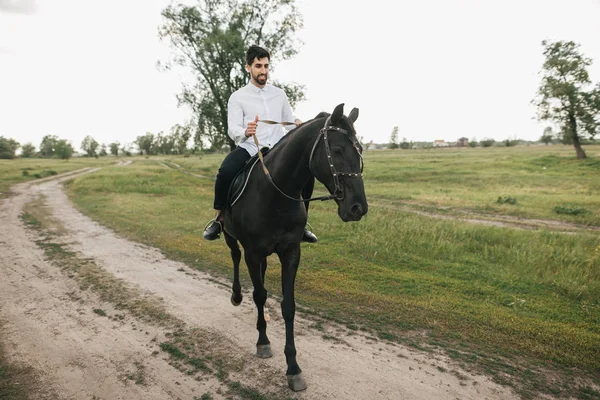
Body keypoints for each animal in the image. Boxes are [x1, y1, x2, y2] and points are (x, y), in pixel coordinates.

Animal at [223, 103, 368, 390]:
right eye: (337, 150)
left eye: (359, 150)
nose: (358, 207)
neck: (274, 193)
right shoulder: (253, 253)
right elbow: (259, 294)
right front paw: (263, 343)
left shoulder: (291, 253)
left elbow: (288, 306)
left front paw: (293, 368)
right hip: (230, 236)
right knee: (234, 256)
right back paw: (236, 296)